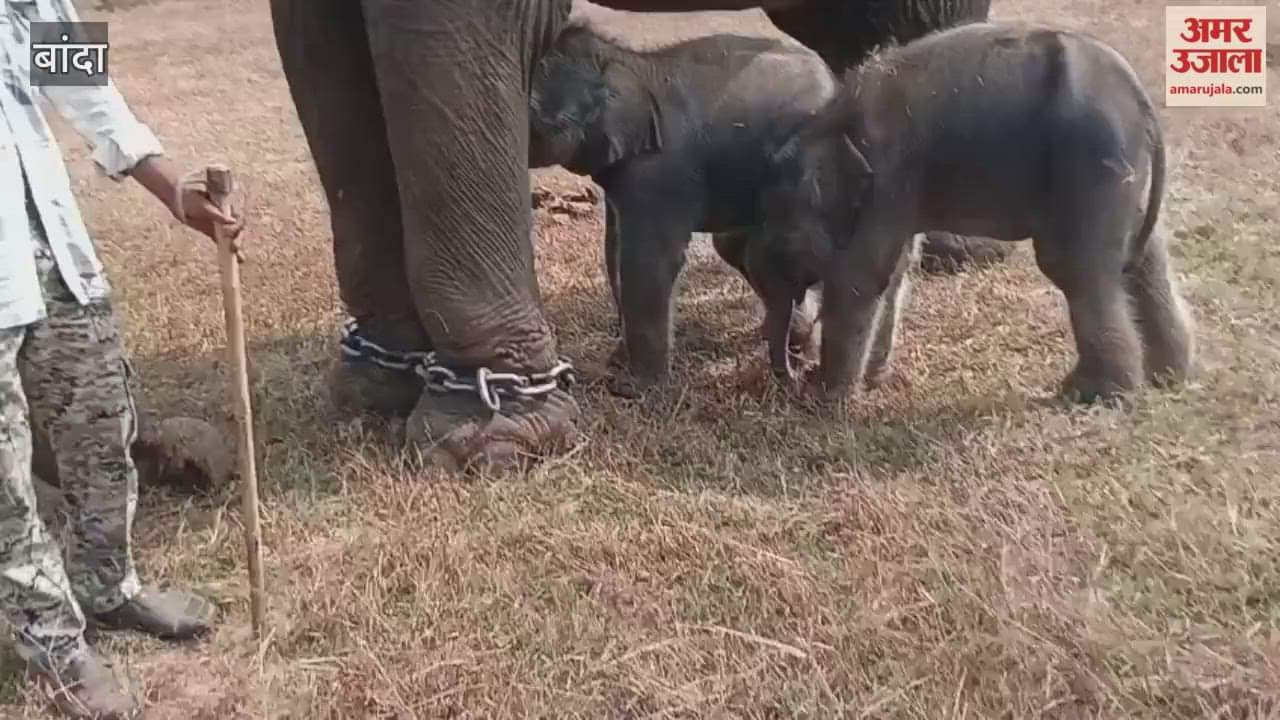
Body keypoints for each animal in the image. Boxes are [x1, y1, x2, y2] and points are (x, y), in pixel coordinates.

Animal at [527, 24, 836, 393]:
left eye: (535, 114)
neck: (625, 61)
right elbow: (614, 251)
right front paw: (616, 364)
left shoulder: (660, 171)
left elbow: (649, 259)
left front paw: (633, 388)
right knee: (741, 250)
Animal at [748, 22, 1195, 403]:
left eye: (783, 249)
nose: (793, 375)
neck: (828, 121)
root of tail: (1138, 97)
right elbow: (893, 271)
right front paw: (871, 380)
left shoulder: (888, 176)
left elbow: (861, 275)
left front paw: (825, 398)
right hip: (1122, 173)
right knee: (1143, 262)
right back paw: (1169, 375)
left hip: (1089, 161)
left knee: (1076, 269)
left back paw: (1092, 395)